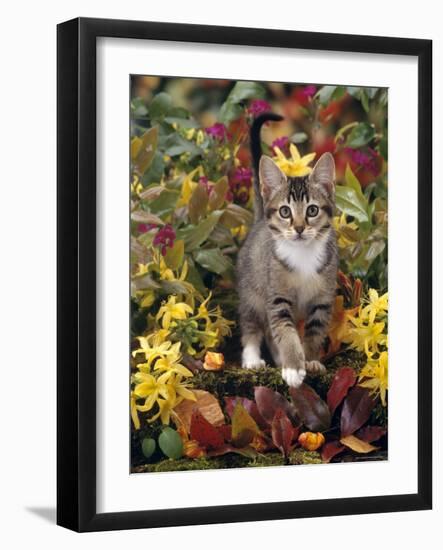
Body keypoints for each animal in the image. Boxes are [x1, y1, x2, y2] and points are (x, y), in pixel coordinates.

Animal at [238, 113, 338, 388]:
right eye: (285, 211)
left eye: (312, 210)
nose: (300, 228)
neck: (303, 254)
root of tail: (258, 221)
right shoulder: (277, 297)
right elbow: (285, 331)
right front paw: (294, 366)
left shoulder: (322, 300)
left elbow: (314, 332)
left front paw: (310, 360)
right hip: (251, 291)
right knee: (252, 326)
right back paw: (252, 358)